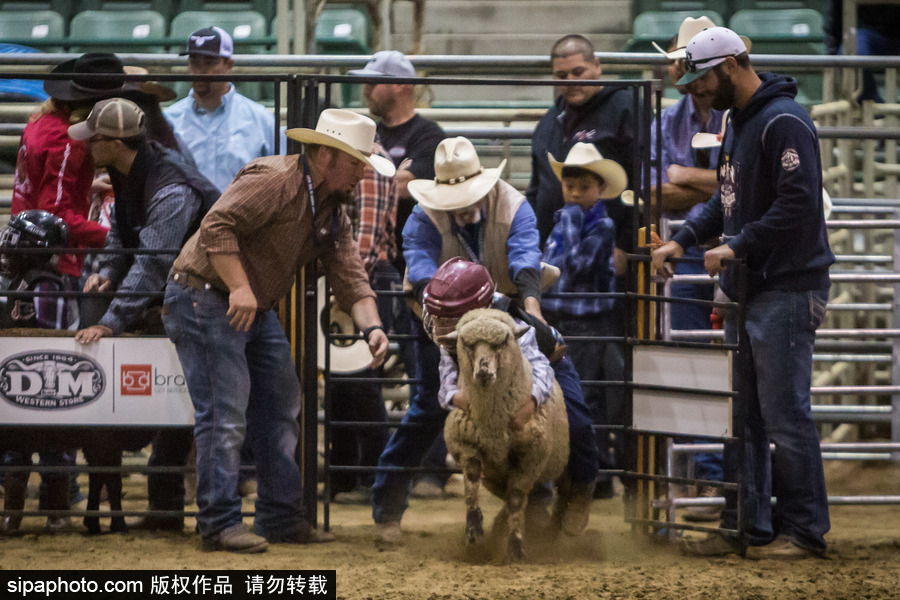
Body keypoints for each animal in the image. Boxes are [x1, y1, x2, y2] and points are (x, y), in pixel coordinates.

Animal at [442, 310, 568, 564]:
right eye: (466, 343)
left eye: (503, 341)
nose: (483, 372)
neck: (493, 421)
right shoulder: (465, 443)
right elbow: (472, 481)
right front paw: (474, 530)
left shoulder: (530, 457)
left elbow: (517, 499)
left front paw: (515, 548)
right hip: (495, 475)